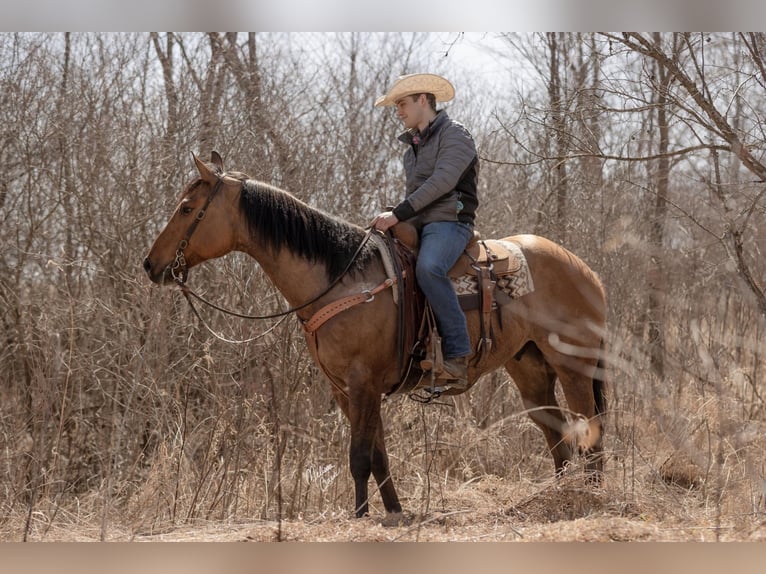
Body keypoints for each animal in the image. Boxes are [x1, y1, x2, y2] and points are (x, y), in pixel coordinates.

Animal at [144, 152, 608, 520]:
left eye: (186, 207)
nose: (151, 265)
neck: (342, 278)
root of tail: (584, 268)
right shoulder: (345, 390)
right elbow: (379, 456)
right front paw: (393, 512)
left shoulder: (362, 381)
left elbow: (359, 457)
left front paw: (361, 515)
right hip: (530, 370)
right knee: (557, 435)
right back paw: (560, 495)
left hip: (574, 366)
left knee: (590, 429)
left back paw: (592, 497)